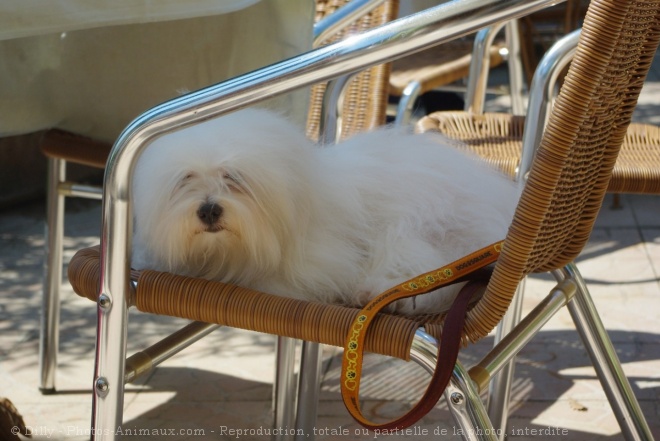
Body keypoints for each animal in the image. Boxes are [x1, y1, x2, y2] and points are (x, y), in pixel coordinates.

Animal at [130, 108, 520, 314]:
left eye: (233, 177)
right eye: (186, 179)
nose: (209, 210)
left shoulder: (316, 265)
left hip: (415, 229)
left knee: (434, 277)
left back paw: (381, 294)